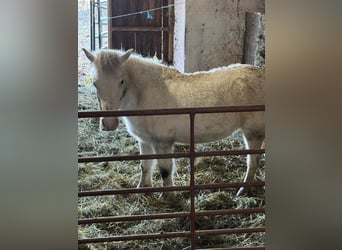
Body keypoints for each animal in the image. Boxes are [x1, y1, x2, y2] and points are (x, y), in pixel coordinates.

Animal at [83, 48, 264, 196]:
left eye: (121, 81)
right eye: (95, 83)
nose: (109, 124)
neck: (144, 95)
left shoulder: (162, 142)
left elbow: (165, 170)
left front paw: (168, 196)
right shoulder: (144, 140)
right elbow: (145, 166)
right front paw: (143, 188)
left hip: (253, 133)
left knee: (253, 162)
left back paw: (243, 190)